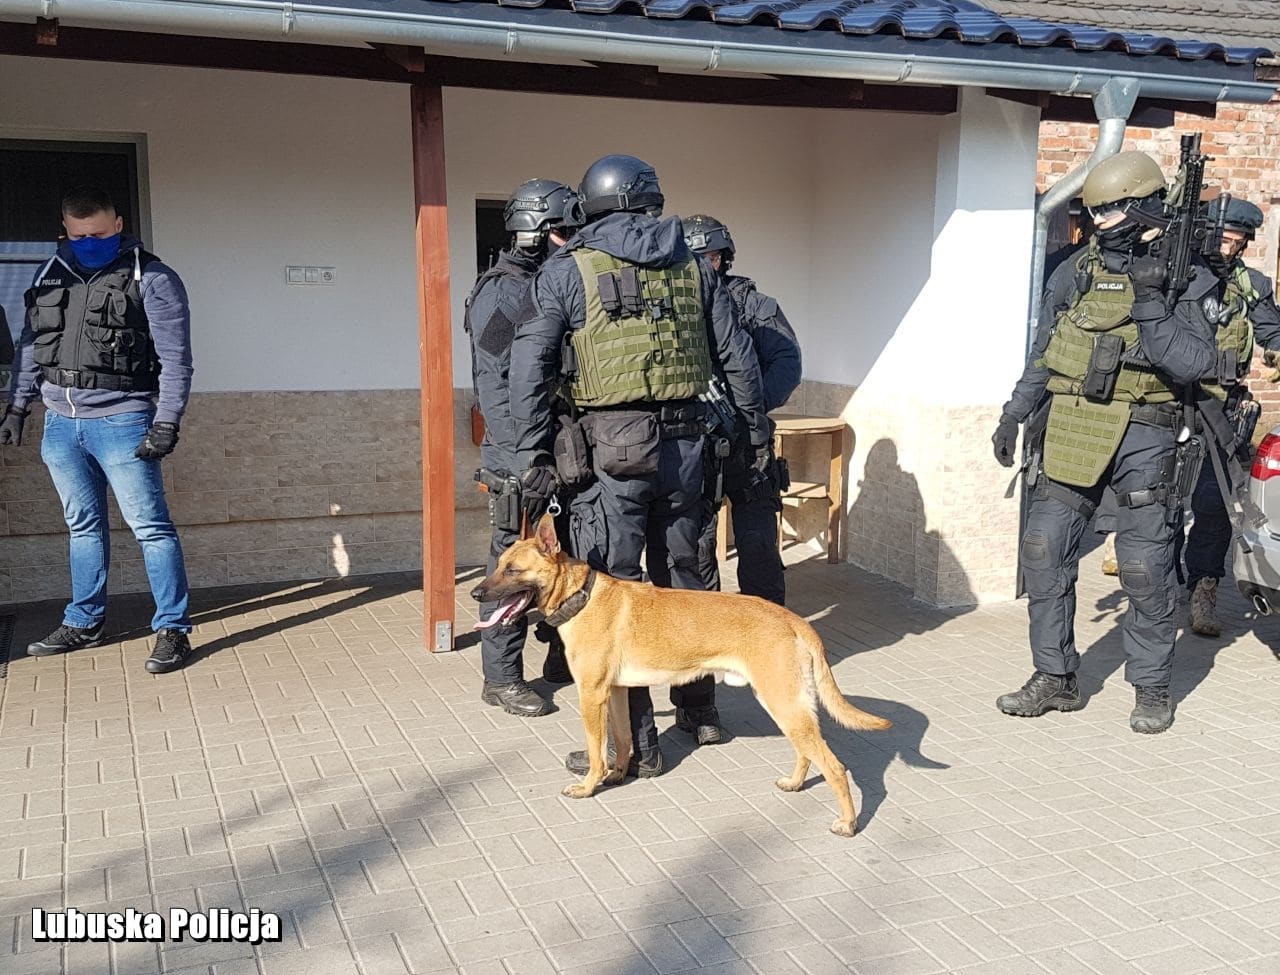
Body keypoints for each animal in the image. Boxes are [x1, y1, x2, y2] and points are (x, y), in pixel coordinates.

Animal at [470, 513, 891, 837]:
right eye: (498, 565)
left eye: (513, 569)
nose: (476, 594)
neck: (582, 597)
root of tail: (793, 619)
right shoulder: (617, 692)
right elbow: (622, 739)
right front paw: (618, 774)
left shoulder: (592, 694)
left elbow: (595, 750)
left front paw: (589, 785)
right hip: (785, 705)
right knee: (807, 752)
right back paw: (795, 783)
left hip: (784, 704)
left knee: (834, 767)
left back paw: (848, 823)